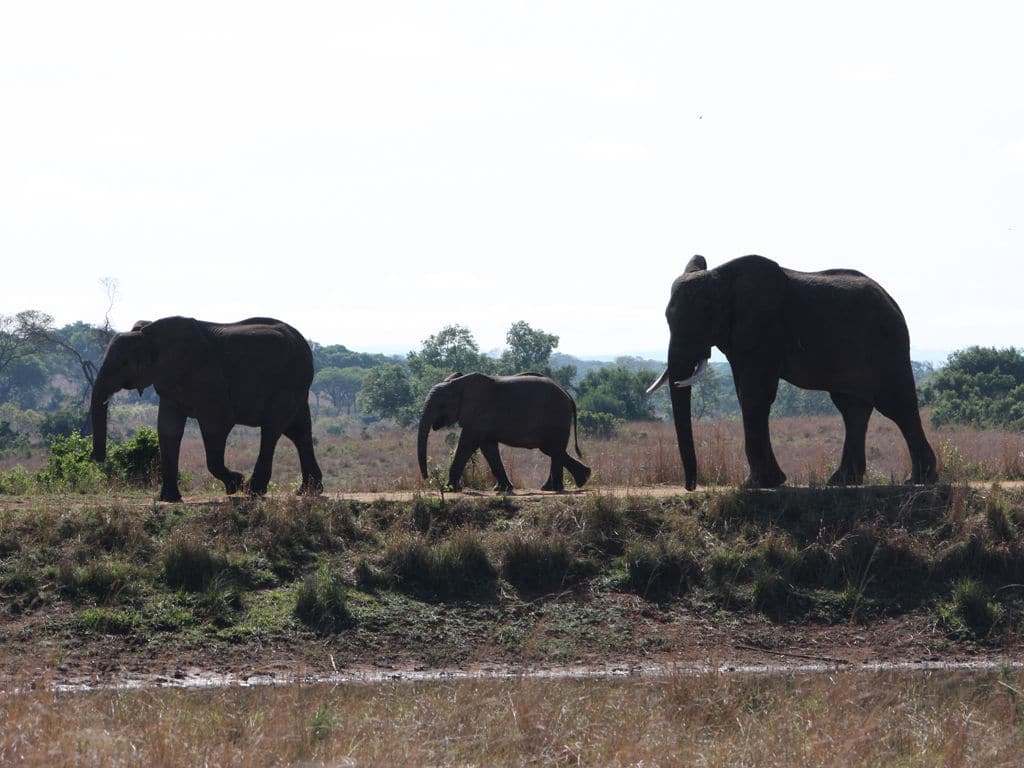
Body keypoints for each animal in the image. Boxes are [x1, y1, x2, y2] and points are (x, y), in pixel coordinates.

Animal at [93, 315, 323, 501]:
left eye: (124, 363)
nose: (99, 460)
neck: (149, 334)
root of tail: (302, 342)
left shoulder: (208, 380)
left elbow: (216, 426)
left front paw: (236, 484)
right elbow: (168, 430)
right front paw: (168, 499)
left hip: (288, 383)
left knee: (272, 430)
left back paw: (253, 491)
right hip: (296, 386)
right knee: (299, 432)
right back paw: (307, 492)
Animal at [415, 372, 593, 493]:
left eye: (441, 405)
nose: (426, 477)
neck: (457, 383)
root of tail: (568, 395)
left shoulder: (479, 415)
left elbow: (467, 444)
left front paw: (449, 489)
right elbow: (488, 448)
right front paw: (502, 489)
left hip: (557, 416)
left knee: (553, 449)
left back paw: (570, 483)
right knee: (554, 450)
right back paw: (563, 484)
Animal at [647, 256, 937, 489]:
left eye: (705, 317)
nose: (690, 487)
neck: (722, 278)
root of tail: (892, 301)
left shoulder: (764, 330)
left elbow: (754, 394)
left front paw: (755, 484)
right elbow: (745, 394)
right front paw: (768, 481)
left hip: (886, 345)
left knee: (897, 405)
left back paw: (919, 479)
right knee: (852, 408)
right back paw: (842, 481)